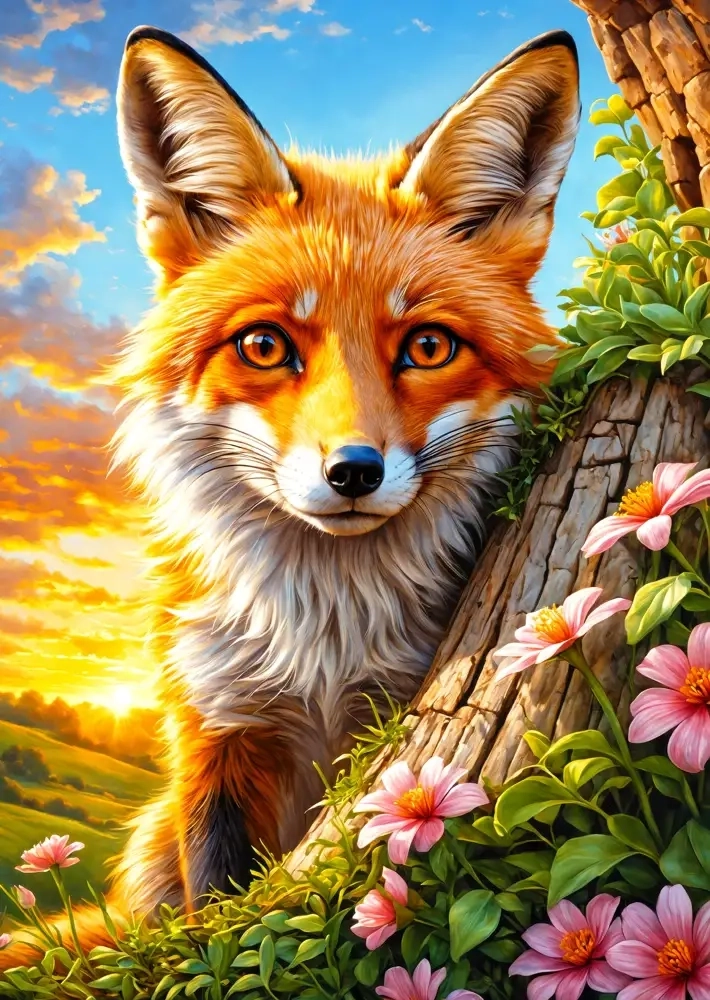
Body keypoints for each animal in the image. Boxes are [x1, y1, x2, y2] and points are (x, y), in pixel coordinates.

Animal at [1, 24, 580, 968]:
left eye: (427, 346)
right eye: (265, 345)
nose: (353, 471)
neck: (325, 645)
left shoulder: (384, 719)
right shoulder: (217, 736)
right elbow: (215, 919)